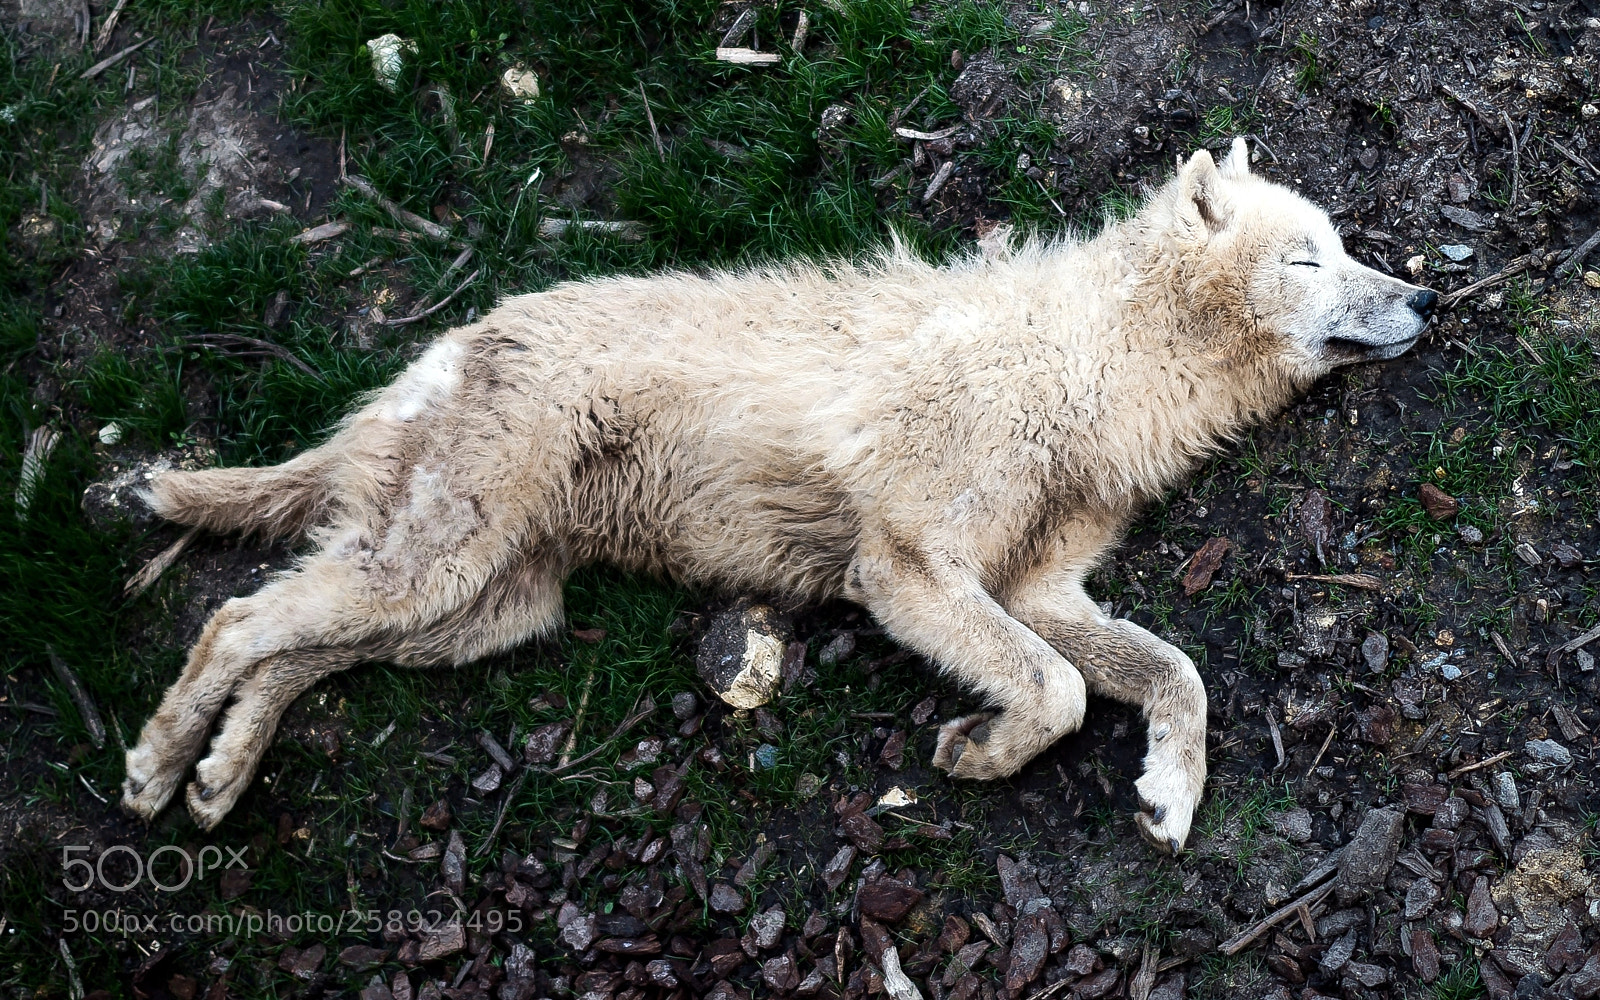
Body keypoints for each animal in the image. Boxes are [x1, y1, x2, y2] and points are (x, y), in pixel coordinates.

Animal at [119, 138, 1435, 850]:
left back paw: (223, 774)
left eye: (1345, 245)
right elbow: (1057, 692)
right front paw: (982, 750)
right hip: (435, 575)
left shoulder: (1041, 589)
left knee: (289, 645)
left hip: (476, 612)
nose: (1426, 298)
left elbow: (1177, 673)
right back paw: (158, 765)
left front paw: (1169, 788)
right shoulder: (905, 571)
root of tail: (448, 339)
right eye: (1310, 256)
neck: (1086, 361)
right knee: (236, 617)